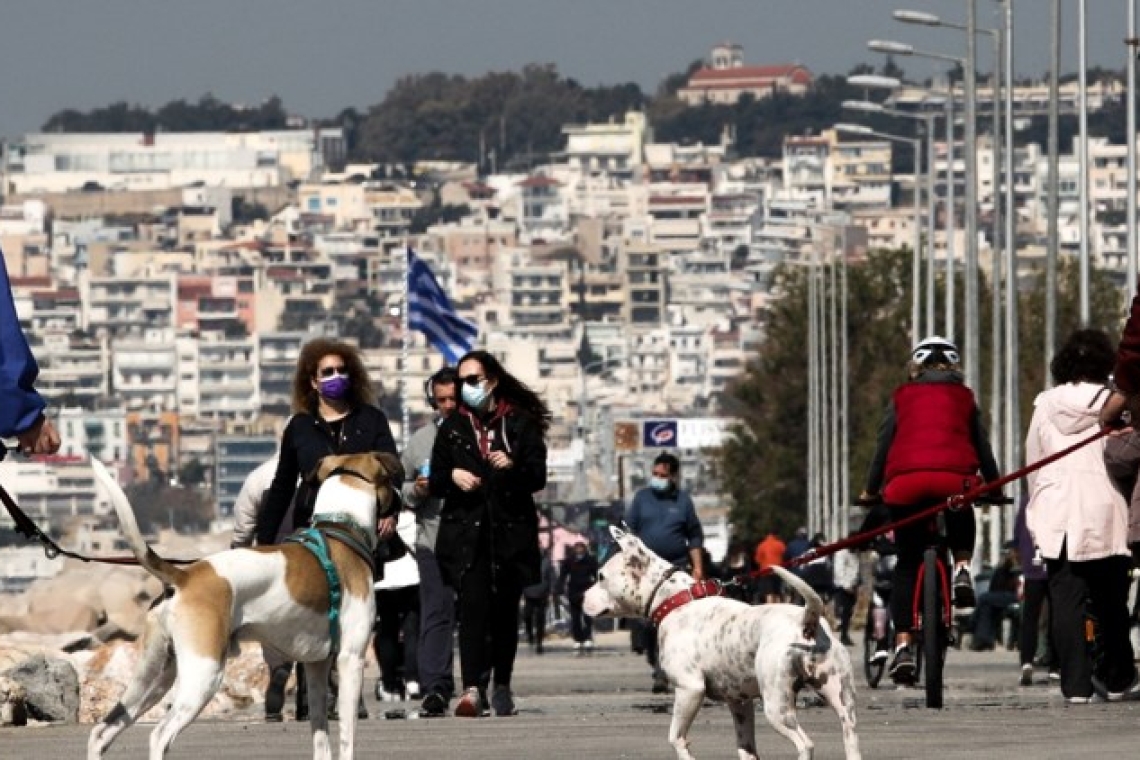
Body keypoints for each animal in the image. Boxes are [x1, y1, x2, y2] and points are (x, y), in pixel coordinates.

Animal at [84, 451, 399, 760]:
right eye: (390, 478)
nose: (401, 495)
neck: (340, 528)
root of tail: (184, 576)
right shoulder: (350, 659)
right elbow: (347, 737)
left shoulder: (316, 666)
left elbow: (321, 738)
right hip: (203, 675)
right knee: (159, 736)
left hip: (153, 677)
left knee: (102, 732)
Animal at [583, 528, 857, 760]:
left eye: (601, 576)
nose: (581, 596)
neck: (676, 601)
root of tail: (806, 622)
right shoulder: (740, 703)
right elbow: (746, 748)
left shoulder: (690, 689)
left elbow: (675, 737)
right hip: (842, 702)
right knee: (849, 737)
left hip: (777, 707)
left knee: (805, 744)